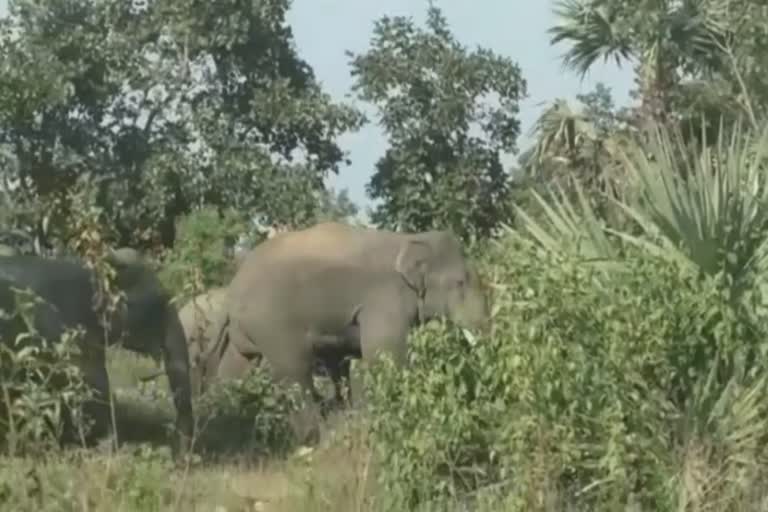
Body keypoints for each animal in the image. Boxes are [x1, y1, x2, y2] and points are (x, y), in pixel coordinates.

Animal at [201, 222, 488, 442]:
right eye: (460, 282)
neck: (410, 238)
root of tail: (232, 290)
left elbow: (340, 361)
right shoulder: (384, 299)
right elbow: (383, 354)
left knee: (235, 369)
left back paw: (228, 426)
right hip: (272, 324)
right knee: (295, 372)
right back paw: (313, 439)